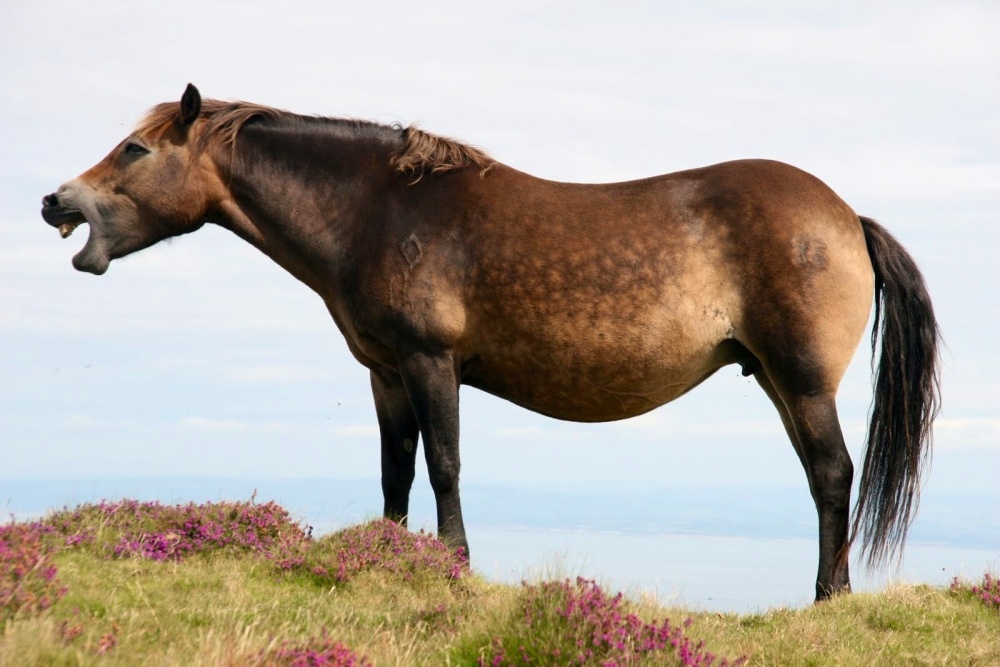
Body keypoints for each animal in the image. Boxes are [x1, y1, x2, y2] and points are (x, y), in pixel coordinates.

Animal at [42, 84, 940, 601]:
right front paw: (393, 560)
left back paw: (830, 598)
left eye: (135, 149)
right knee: (823, 477)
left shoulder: (431, 361)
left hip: (802, 379)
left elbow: (443, 463)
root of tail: (845, 215)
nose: (57, 201)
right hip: (777, 381)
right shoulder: (386, 373)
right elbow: (395, 471)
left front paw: (455, 565)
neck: (380, 211)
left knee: (833, 473)